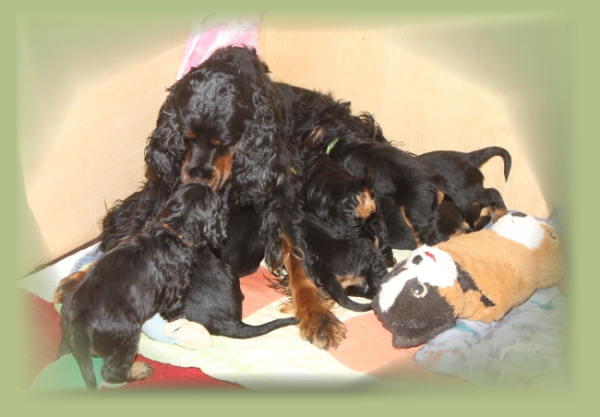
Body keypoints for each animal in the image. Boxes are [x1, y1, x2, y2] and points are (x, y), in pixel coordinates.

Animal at [57, 183, 227, 390]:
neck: (173, 230)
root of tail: (77, 321)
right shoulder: (176, 290)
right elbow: (178, 314)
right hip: (126, 337)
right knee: (113, 371)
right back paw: (138, 370)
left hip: (68, 337)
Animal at [99, 46, 345, 350]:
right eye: (187, 137)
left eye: (223, 142)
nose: (196, 178)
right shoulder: (170, 186)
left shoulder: (281, 194)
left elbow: (297, 257)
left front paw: (316, 313)